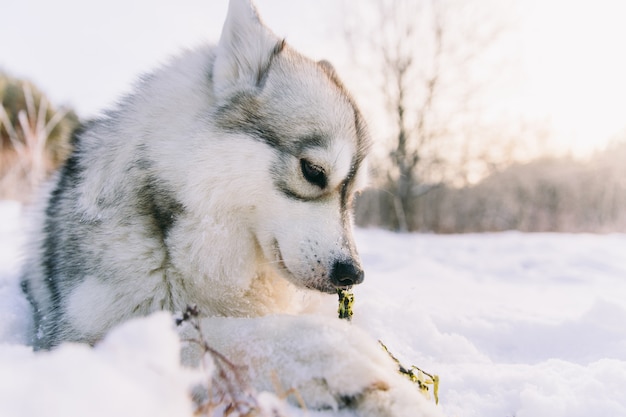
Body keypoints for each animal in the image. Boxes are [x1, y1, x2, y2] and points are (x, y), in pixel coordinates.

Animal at [22, 1, 442, 414]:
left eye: (354, 194)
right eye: (313, 171)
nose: (352, 274)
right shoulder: (84, 338)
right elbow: (219, 335)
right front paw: (336, 351)